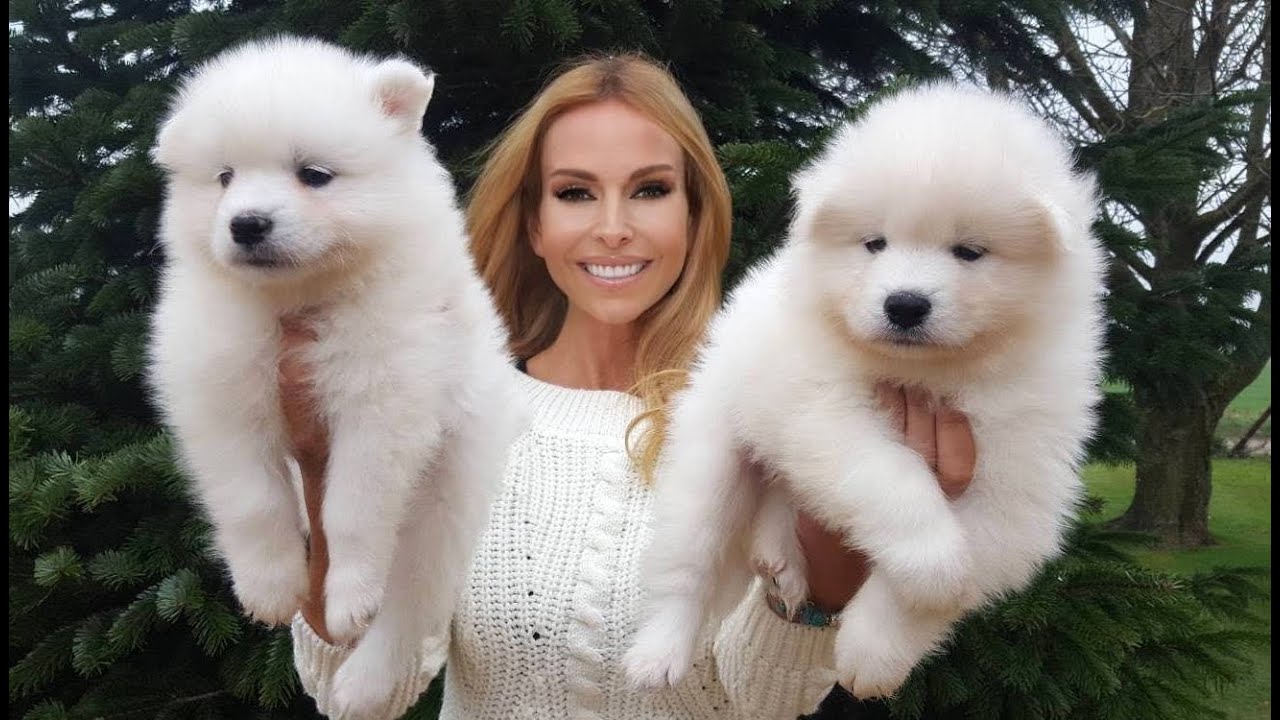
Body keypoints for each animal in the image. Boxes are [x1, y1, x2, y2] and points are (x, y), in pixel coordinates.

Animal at [148, 35, 524, 712]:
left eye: (314, 175)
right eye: (224, 178)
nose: (246, 223)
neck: (300, 299)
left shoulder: (385, 393)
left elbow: (353, 505)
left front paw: (348, 595)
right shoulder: (219, 388)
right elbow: (250, 498)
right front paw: (269, 585)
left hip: (446, 503)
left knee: (407, 605)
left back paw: (363, 681)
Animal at [624, 79, 1105, 702]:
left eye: (969, 251)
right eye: (875, 243)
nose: (904, 304)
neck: (930, 374)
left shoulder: (1019, 483)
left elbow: (958, 568)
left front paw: (874, 652)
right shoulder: (819, 409)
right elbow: (892, 476)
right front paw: (934, 562)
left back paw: (781, 558)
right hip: (709, 461)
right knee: (686, 568)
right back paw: (659, 652)